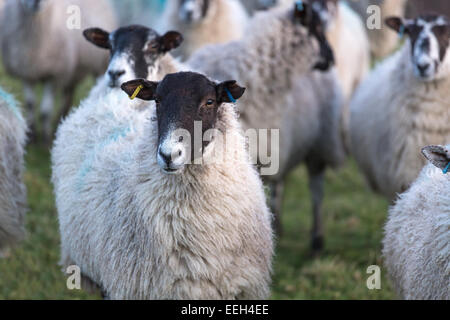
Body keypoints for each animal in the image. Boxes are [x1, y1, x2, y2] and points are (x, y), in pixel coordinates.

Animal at [0, 0, 118, 142]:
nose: (36, 3)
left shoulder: (54, 75)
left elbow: (45, 111)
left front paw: (45, 138)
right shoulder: (27, 73)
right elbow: (30, 104)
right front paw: (32, 133)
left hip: (99, 65)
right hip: (75, 70)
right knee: (69, 92)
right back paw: (61, 118)